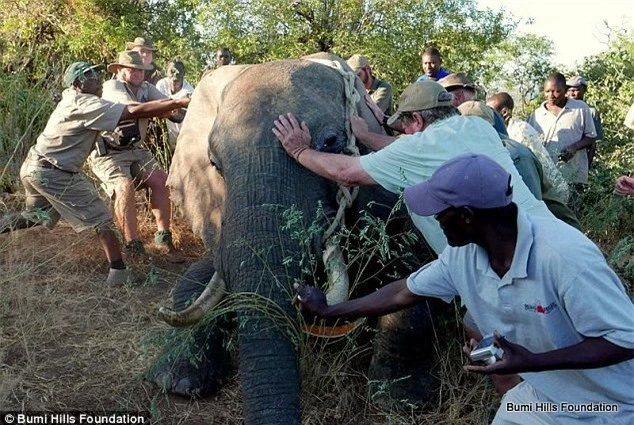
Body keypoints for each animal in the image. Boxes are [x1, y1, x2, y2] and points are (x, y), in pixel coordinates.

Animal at [149, 54, 442, 422]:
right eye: (214, 163)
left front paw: (401, 399)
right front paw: (178, 382)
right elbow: (204, 274)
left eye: (331, 143)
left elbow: (411, 276)